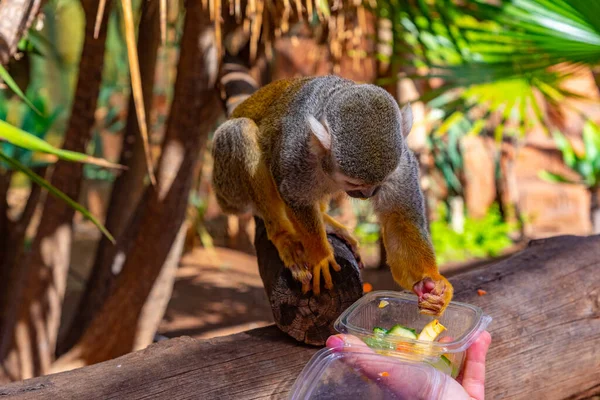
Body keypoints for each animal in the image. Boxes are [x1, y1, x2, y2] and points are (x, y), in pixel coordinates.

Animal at [213, 76, 452, 316]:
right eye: (354, 183)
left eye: (380, 182)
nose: (368, 193)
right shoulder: (297, 153)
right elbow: (295, 197)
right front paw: (320, 255)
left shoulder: (401, 164)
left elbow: (400, 220)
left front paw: (430, 283)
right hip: (228, 187)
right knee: (240, 130)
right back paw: (282, 234)